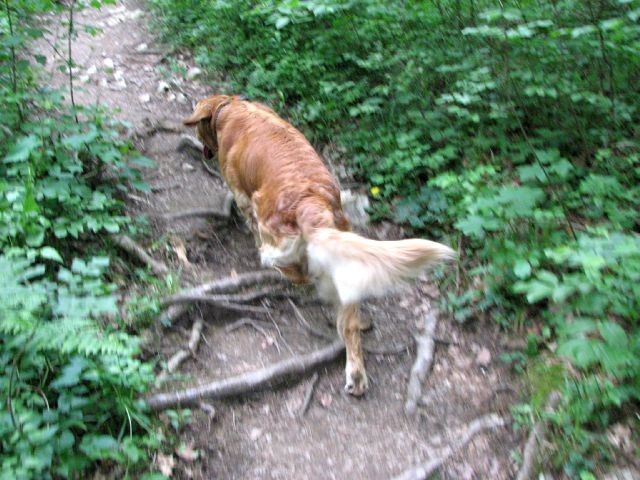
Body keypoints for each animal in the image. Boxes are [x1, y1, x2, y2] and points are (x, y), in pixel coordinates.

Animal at [185, 94, 456, 398]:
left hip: (272, 228)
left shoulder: (243, 195)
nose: (203, 149)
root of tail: (311, 203)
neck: (229, 109)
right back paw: (356, 370)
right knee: (348, 321)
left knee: (289, 268)